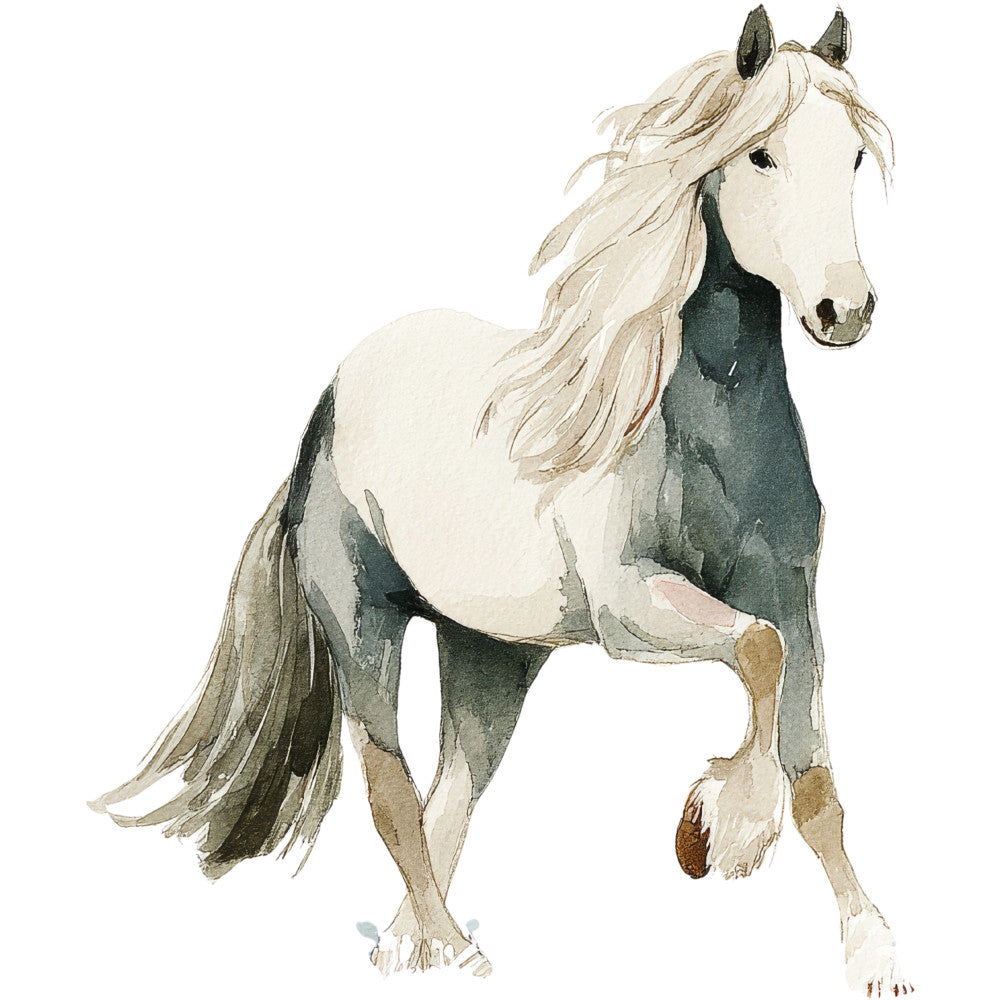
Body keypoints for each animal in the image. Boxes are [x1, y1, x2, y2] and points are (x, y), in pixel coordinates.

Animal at [92, 7, 909, 995]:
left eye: (854, 157)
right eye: (760, 155)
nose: (844, 310)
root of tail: (327, 404)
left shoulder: (792, 594)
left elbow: (811, 767)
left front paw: (873, 951)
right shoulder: (628, 607)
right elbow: (756, 656)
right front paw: (722, 826)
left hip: (491, 657)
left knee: (450, 801)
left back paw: (410, 949)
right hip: (363, 624)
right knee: (393, 792)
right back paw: (455, 952)